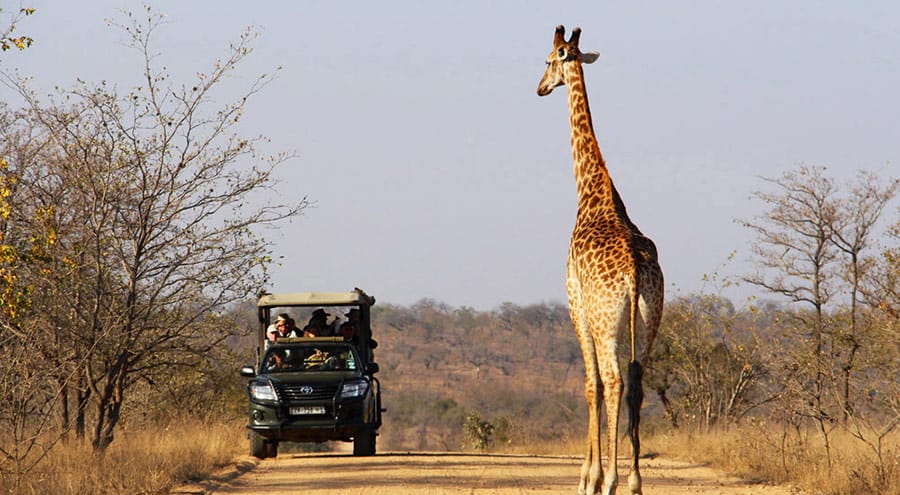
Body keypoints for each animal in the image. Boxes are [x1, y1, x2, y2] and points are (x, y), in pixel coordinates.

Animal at [536, 26, 664, 495]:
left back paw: (609, 479)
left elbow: (591, 385)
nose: (540, 88)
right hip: (649, 320)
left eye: (549, 60)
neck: (592, 192)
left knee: (612, 380)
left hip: (608, 322)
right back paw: (634, 480)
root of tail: (634, 274)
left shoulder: (576, 303)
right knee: (637, 382)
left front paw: (586, 477)